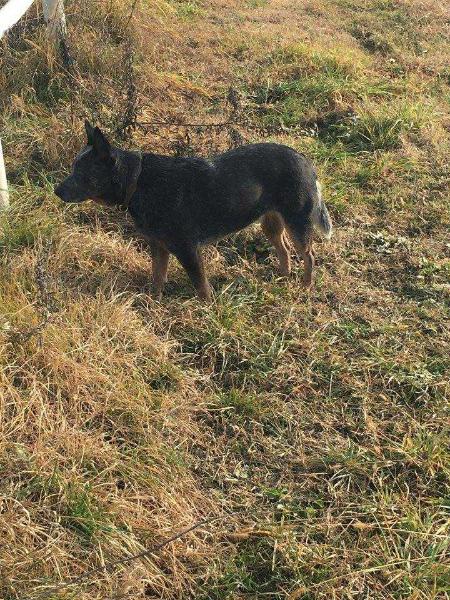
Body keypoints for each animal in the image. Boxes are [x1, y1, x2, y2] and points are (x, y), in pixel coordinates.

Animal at [54, 122, 332, 300]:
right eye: (73, 168)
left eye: (82, 173)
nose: (56, 191)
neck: (137, 182)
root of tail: (305, 160)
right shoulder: (159, 247)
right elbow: (157, 277)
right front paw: (153, 303)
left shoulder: (187, 250)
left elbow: (201, 287)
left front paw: (207, 311)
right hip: (271, 223)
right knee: (284, 250)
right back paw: (283, 276)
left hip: (298, 222)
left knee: (309, 256)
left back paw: (306, 287)